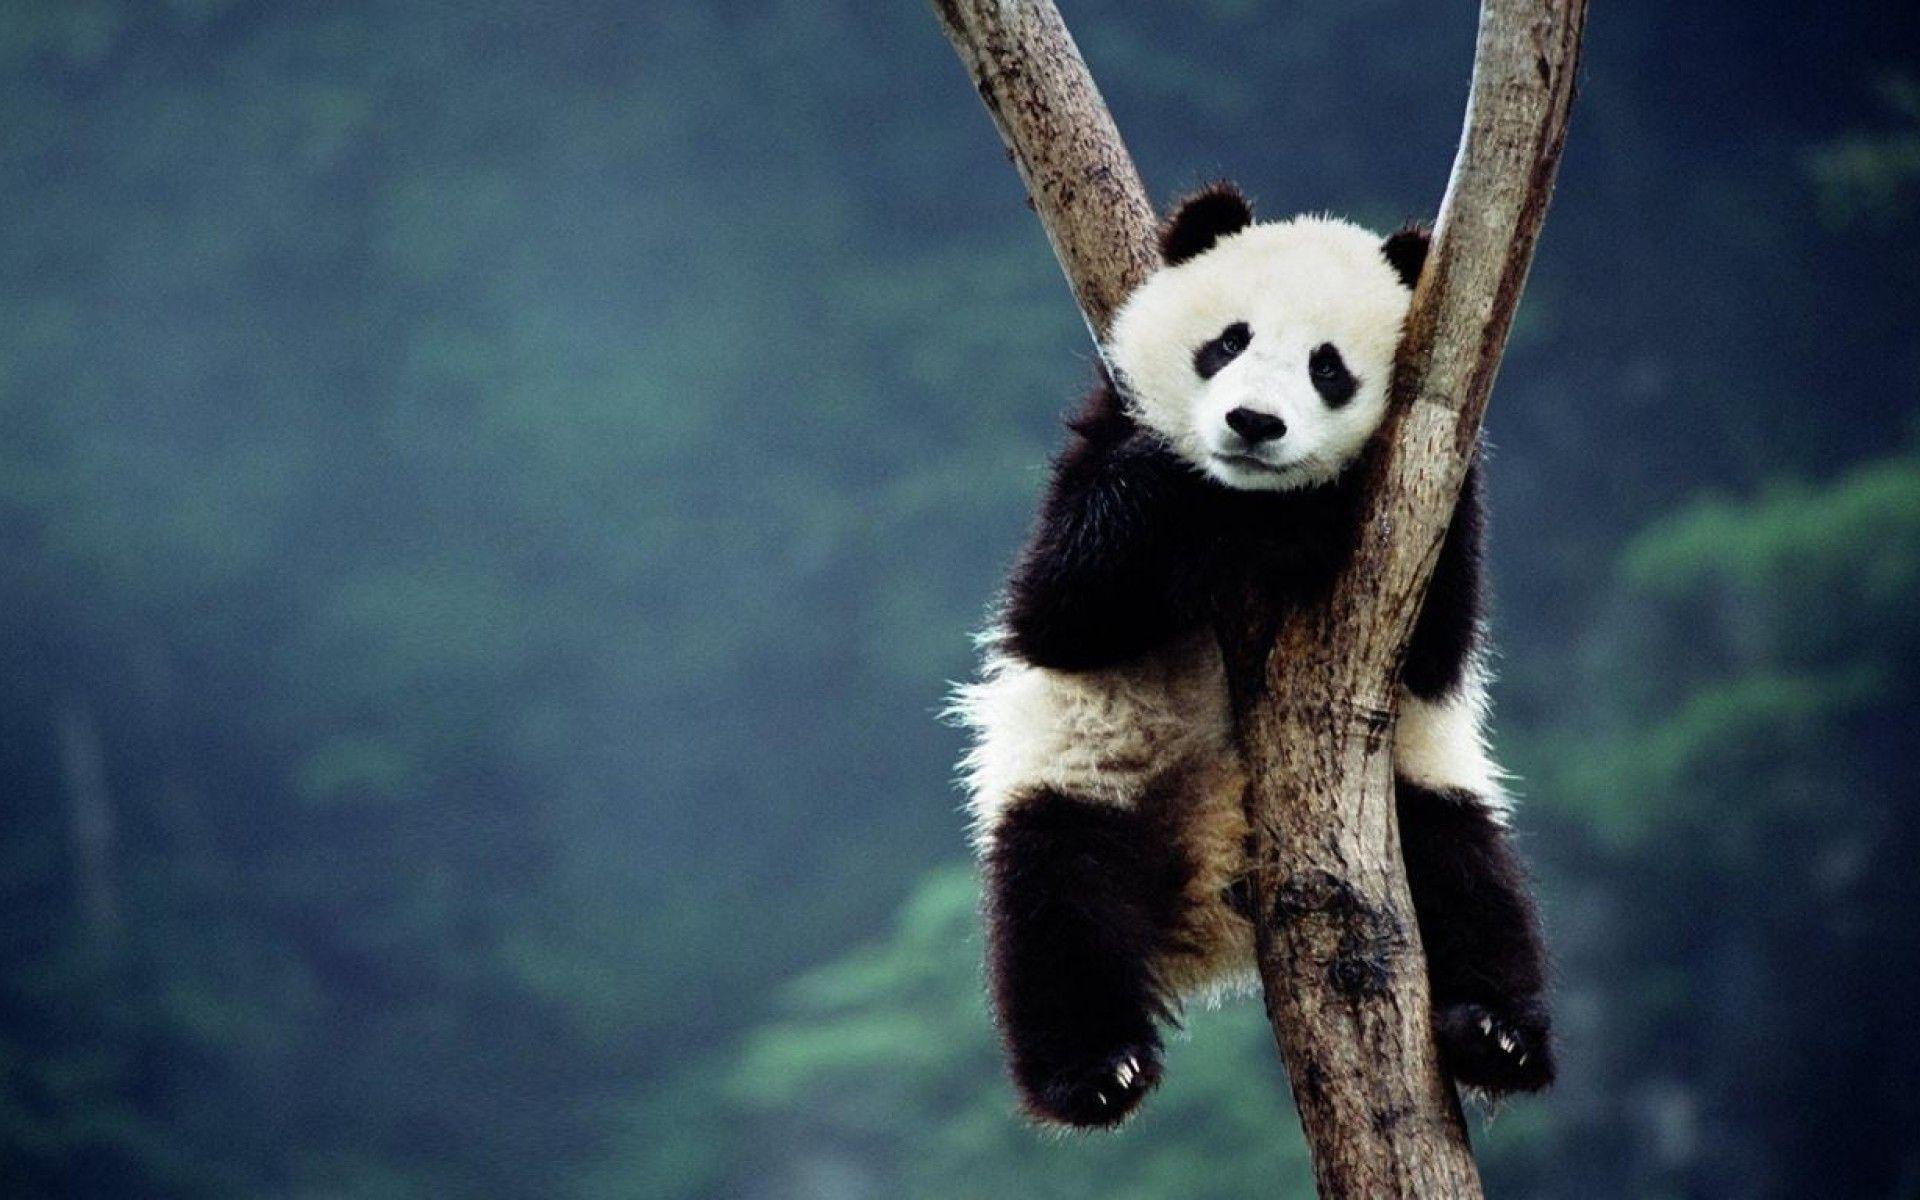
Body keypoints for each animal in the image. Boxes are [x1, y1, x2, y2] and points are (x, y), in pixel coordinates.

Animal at [953, 182, 1553, 1130]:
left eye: (1328, 368)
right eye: (1227, 342)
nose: (1252, 424)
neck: (1247, 503)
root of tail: (1211, 908)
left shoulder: (1430, 497)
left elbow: (1436, 648)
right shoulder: (1101, 441)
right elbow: (1059, 607)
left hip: (1413, 798)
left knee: (1471, 879)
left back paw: (1497, 1034)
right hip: (1086, 779)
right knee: (1056, 911)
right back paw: (1097, 1071)